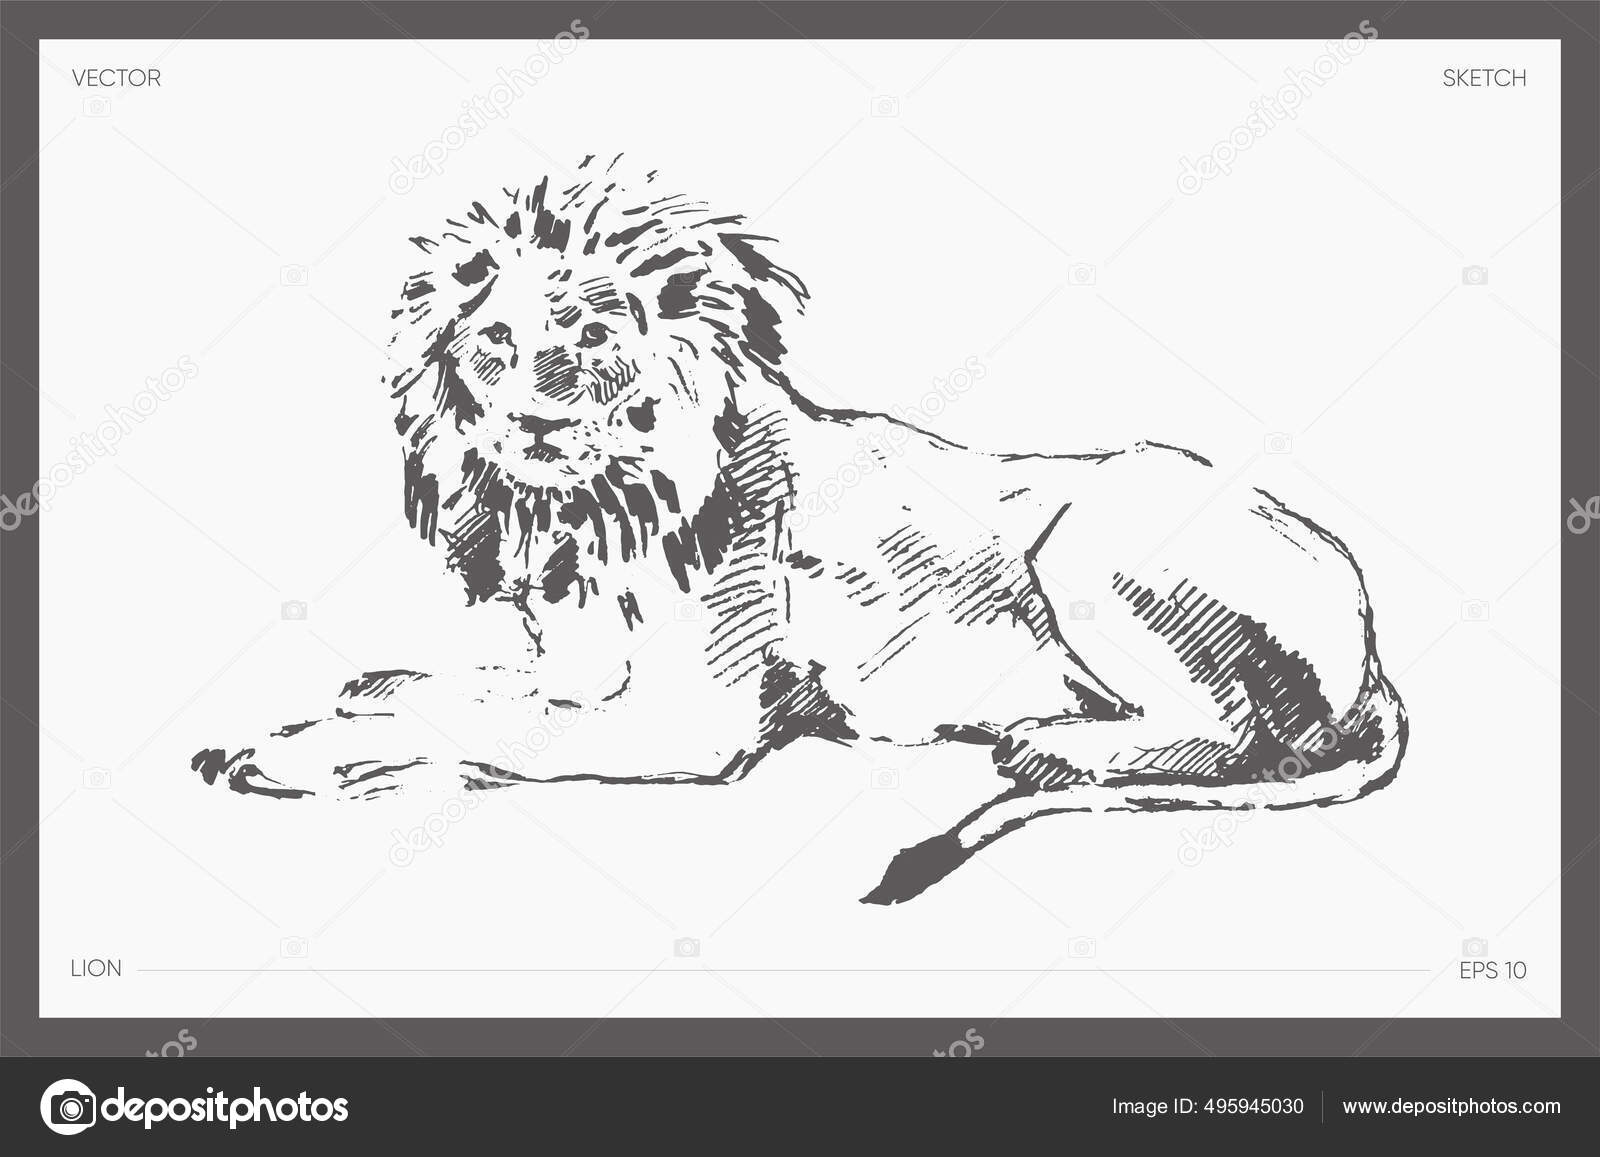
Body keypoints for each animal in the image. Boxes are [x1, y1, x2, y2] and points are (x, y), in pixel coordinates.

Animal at [193, 154, 1407, 904]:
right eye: (494, 344)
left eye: (594, 340)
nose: (531, 422)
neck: (594, 506)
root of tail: (1368, 640)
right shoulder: (583, 670)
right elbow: (473, 688)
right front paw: (368, 691)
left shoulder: (692, 722)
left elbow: (487, 728)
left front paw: (292, 750)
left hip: (1096, 537)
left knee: (1248, 731)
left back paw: (1053, 743)